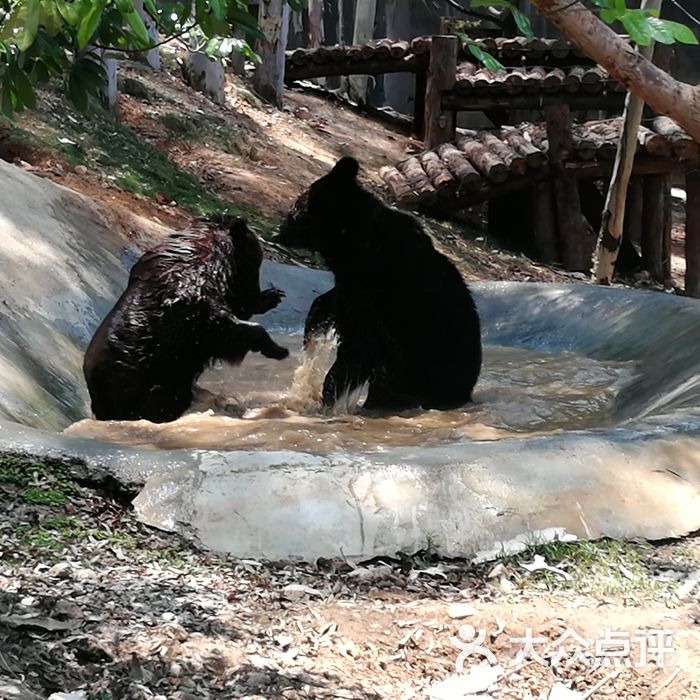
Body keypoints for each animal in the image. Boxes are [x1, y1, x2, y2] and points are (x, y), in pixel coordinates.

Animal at [84, 219, 288, 422]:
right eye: (256, 263)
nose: (258, 290)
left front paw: (272, 296)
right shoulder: (193, 310)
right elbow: (225, 331)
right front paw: (278, 349)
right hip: (145, 383)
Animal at [278, 157, 482, 410]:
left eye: (296, 209)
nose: (279, 234)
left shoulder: (377, 288)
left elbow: (360, 344)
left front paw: (328, 398)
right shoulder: (353, 281)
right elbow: (328, 305)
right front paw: (312, 336)